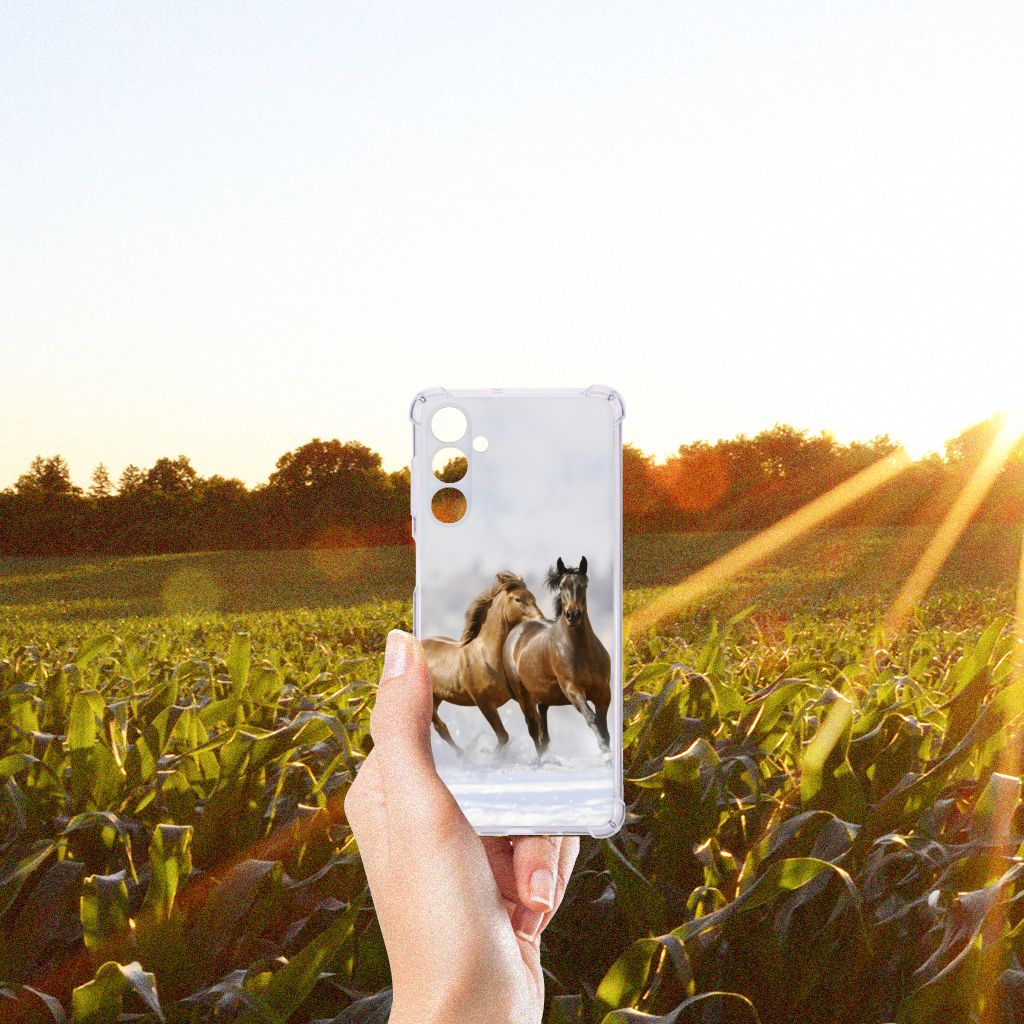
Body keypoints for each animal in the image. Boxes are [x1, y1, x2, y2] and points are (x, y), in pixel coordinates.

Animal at [423, 571, 544, 750]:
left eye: (533, 597)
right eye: (518, 599)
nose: (540, 619)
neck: (487, 656)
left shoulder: (524, 698)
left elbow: (535, 730)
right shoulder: (484, 703)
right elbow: (503, 737)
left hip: (437, 698)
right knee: (441, 727)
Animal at [502, 556, 611, 755]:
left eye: (584, 585)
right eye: (561, 586)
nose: (573, 615)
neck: (582, 651)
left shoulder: (604, 692)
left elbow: (604, 728)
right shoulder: (572, 689)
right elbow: (591, 717)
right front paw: (603, 749)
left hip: (543, 697)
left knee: (543, 734)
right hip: (524, 697)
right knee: (533, 730)